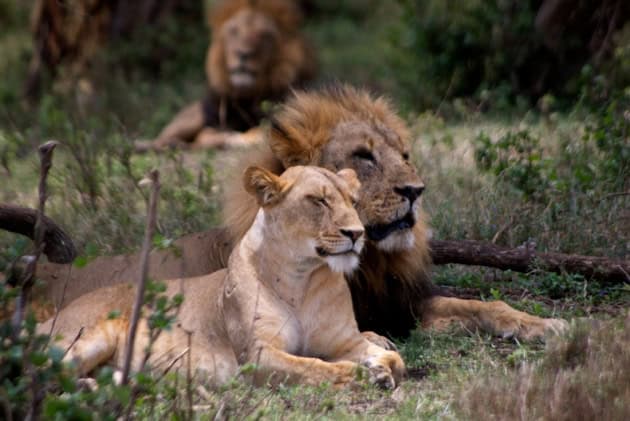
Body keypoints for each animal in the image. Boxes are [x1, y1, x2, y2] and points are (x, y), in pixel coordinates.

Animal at [40, 166, 404, 388]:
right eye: (318, 201)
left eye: (352, 201)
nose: (357, 233)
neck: (300, 277)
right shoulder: (256, 356)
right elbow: (314, 366)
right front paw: (364, 375)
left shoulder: (345, 341)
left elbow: (395, 358)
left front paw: (380, 368)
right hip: (86, 339)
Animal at [139, 0, 314, 151]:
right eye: (233, 31)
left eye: (264, 35)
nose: (243, 53)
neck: (246, 97)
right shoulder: (214, 122)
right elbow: (211, 134)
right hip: (188, 121)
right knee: (163, 137)